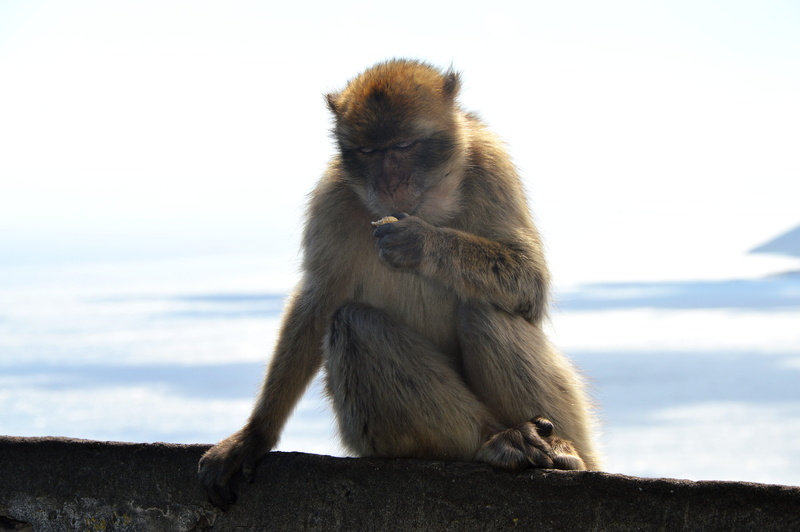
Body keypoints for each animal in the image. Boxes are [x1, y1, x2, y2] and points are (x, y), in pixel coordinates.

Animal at [198, 59, 601, 509]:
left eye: (404, 146)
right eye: (369, 152)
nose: (389, 184)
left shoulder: (492, 167)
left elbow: (531, 282)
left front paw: (421, 242)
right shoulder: (331, 199)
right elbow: (317, 303)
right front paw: (255, 435)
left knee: (484, 310)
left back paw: (556, 448)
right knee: (353, 323)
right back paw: (496, 440)